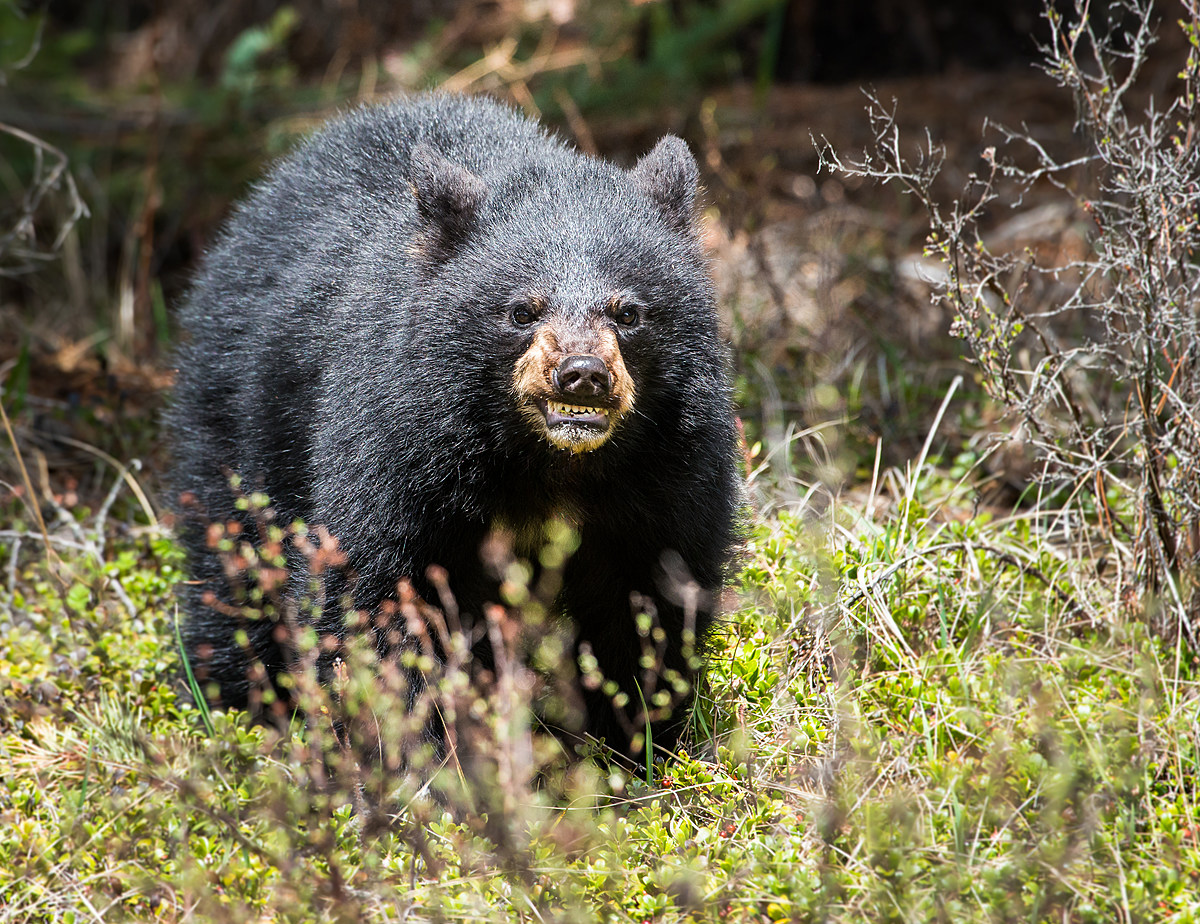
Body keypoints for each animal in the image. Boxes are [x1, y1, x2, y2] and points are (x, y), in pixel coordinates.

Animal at [168, 95, 739, 768]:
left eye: (629, 313)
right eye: (522, 310)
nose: (582, 375)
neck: (550, 463)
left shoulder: (670, 468)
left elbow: (651, 598)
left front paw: (635, 745)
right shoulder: (398, 445)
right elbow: (383, 596)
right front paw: (416, 755)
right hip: (239, 417)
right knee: (232, 569)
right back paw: (238, 707)